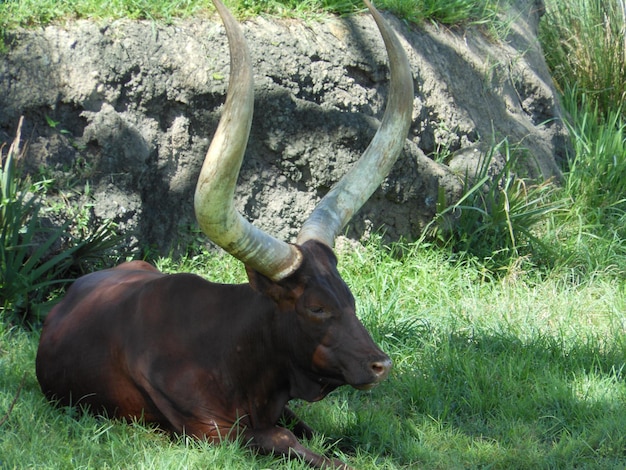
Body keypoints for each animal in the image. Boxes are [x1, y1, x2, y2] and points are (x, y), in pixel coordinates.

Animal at [35, 1, 414, 468]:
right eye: (316, 308)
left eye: (349, 297)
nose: (381, 365)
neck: (233, 352)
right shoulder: (215, 433)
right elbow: (300, 446)